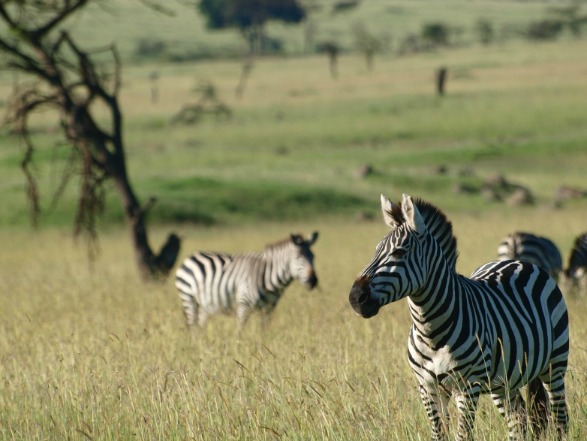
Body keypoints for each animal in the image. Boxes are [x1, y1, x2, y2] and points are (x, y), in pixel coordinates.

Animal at [175, 232, 320, 328]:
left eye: (313, 256)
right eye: (299, 257)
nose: (313, 281)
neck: (268, 277)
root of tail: (191, 256)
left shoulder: (269, 308)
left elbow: (264, 330)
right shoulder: (243, 303)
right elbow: (240, 329)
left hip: (204, 304)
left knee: (200, 324)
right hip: (188, 297)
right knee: (192, 326)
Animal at [350, 195, 568, 440]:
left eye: (398, 252)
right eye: (375, 251)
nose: (355, 297)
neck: (431, 331)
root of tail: (518, 262)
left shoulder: (467, 387)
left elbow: (463, 435)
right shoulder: (427, 388)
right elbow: (438, 434)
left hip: (555, 364)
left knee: (560, 417)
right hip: (504, 381)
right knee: (518, 420)